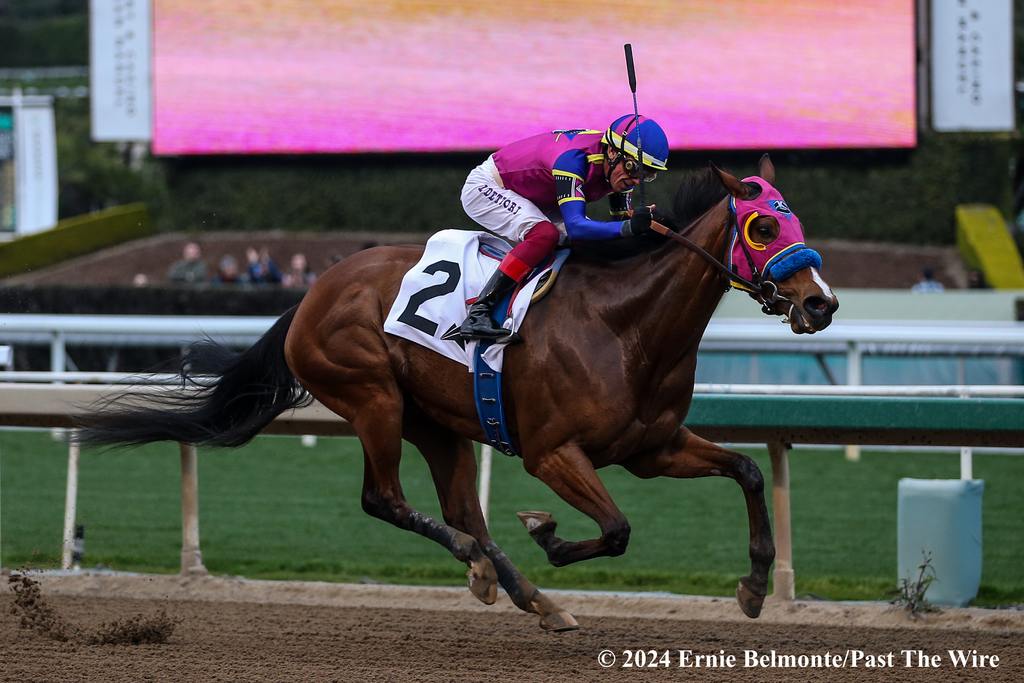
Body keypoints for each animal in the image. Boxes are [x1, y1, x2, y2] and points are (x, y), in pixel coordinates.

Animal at [81, 154, 839, 630]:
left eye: (798, 220)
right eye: (763, 225)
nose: (822, 303)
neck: (626, 323)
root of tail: (311, 294)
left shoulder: (651, 447)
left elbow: (746, 470)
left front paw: (754, 587)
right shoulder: (552, 453)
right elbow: (617, 529)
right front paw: (548, 533)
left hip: (437, 422)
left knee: (461, 512)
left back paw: (532, 597)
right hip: (373, 397)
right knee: (386, 499)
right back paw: (490, 570)